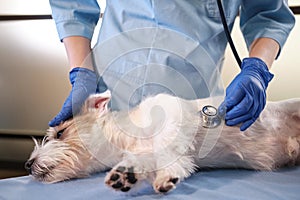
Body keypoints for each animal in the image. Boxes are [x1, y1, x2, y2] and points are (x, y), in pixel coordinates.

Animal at [26, 91, 300, 194]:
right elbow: (170, 163)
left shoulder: (173, 123)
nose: (28, 164)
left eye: (60, 133)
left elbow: (164, 150)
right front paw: (130, 175)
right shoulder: (174, 156)